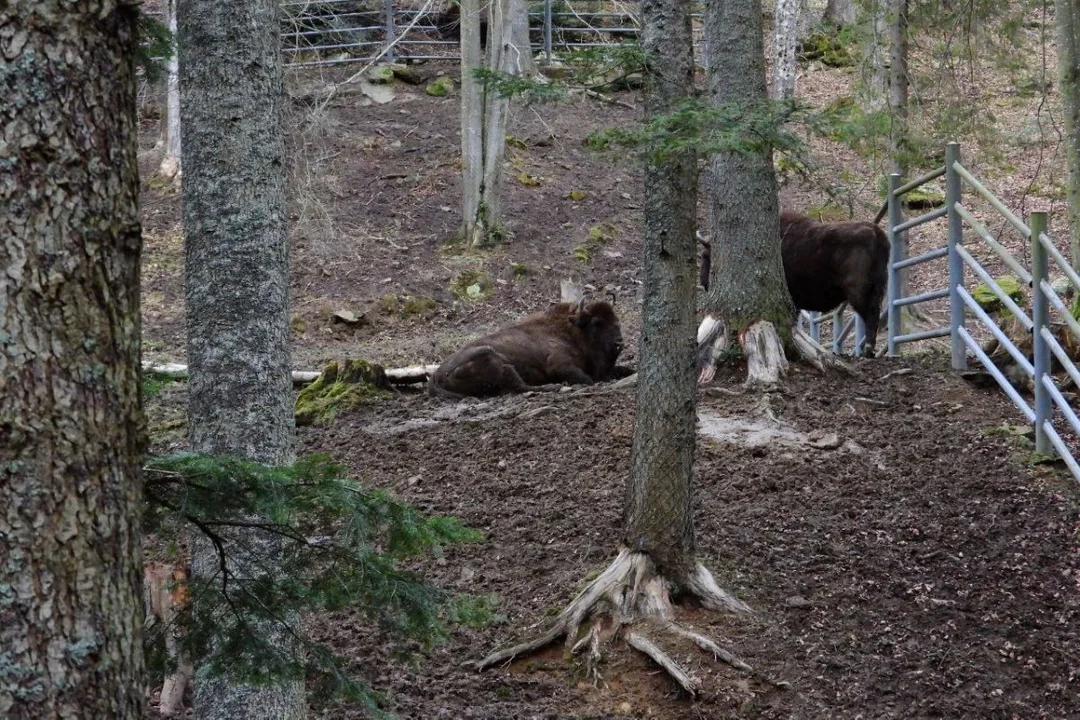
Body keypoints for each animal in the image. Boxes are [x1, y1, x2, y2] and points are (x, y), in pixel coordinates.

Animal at [421, 297, 626, 399]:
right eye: (597, 323)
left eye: (616, 319)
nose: (619, 343)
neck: (570, 332)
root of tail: (435, 375)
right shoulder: (560, 366)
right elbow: (587, 379)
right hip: (493, 358)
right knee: (520, 386)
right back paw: (554, 386)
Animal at [695, 209, 889, 356]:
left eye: (706, 255)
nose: (703, 282)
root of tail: (875, 232)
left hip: (858, 292)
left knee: (870, 315)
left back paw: (867, 350)